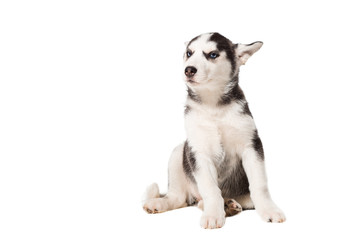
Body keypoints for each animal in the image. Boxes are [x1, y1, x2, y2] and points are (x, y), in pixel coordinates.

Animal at [142, 32, 286, 229]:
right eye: (189, 53)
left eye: (213, 55)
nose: (189, 69)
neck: (213, 105)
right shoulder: (199, 152)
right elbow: (210, 189)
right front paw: (213, 214)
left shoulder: (251, 145)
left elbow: (260, 185)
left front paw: (269, 210)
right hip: (179, 152)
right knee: (179, 198)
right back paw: (162, 203)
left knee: (243, 200)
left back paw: (230, 205)